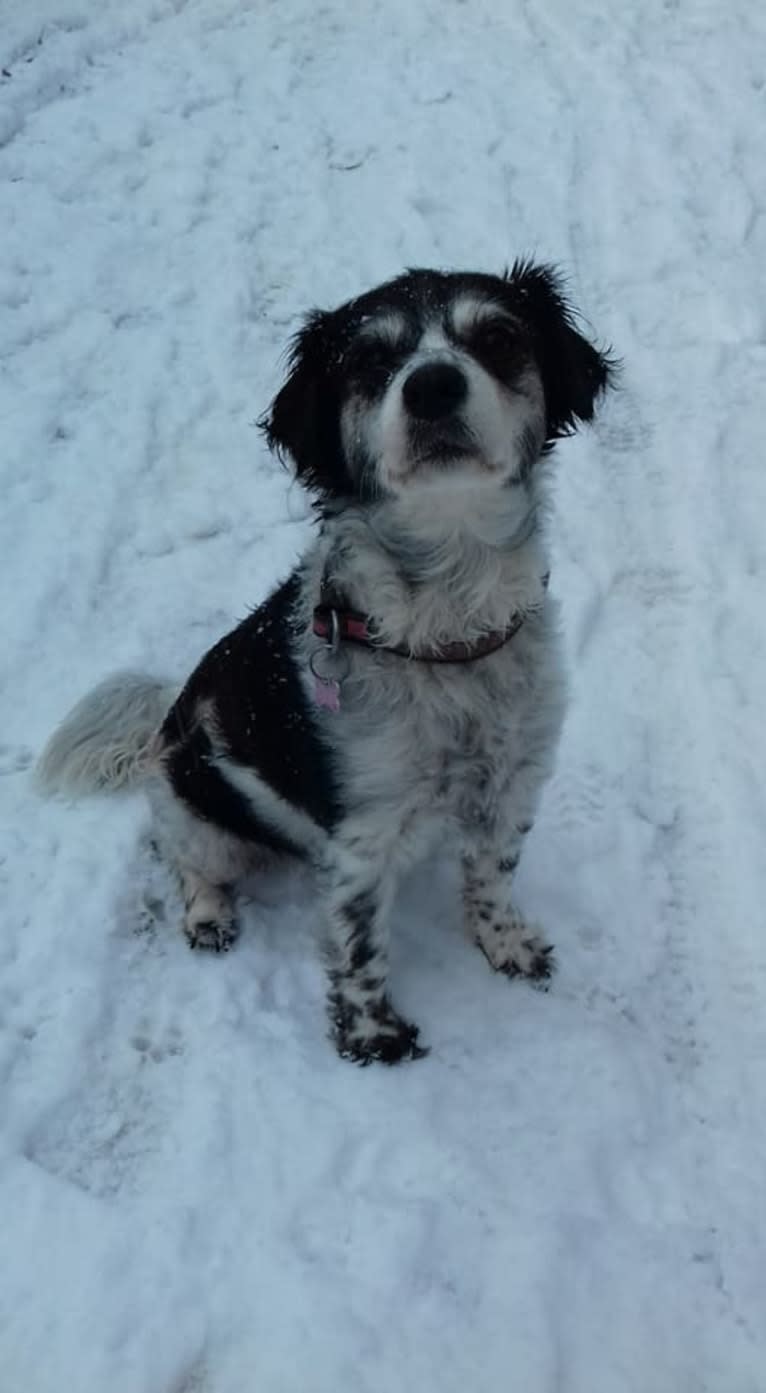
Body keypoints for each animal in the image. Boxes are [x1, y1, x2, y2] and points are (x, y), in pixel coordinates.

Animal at [38, 263, 618, 1064]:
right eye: (371, 360)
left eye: (497, 337)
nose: (432, 385)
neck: (443, 634)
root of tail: (165, 727)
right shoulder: (360, 831)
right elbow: (360, 944)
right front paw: (374, 1036)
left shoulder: (513, 783)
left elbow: (493, 879)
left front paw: (507, 946)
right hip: (199, 814)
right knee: (186, 860)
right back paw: (209, 916)